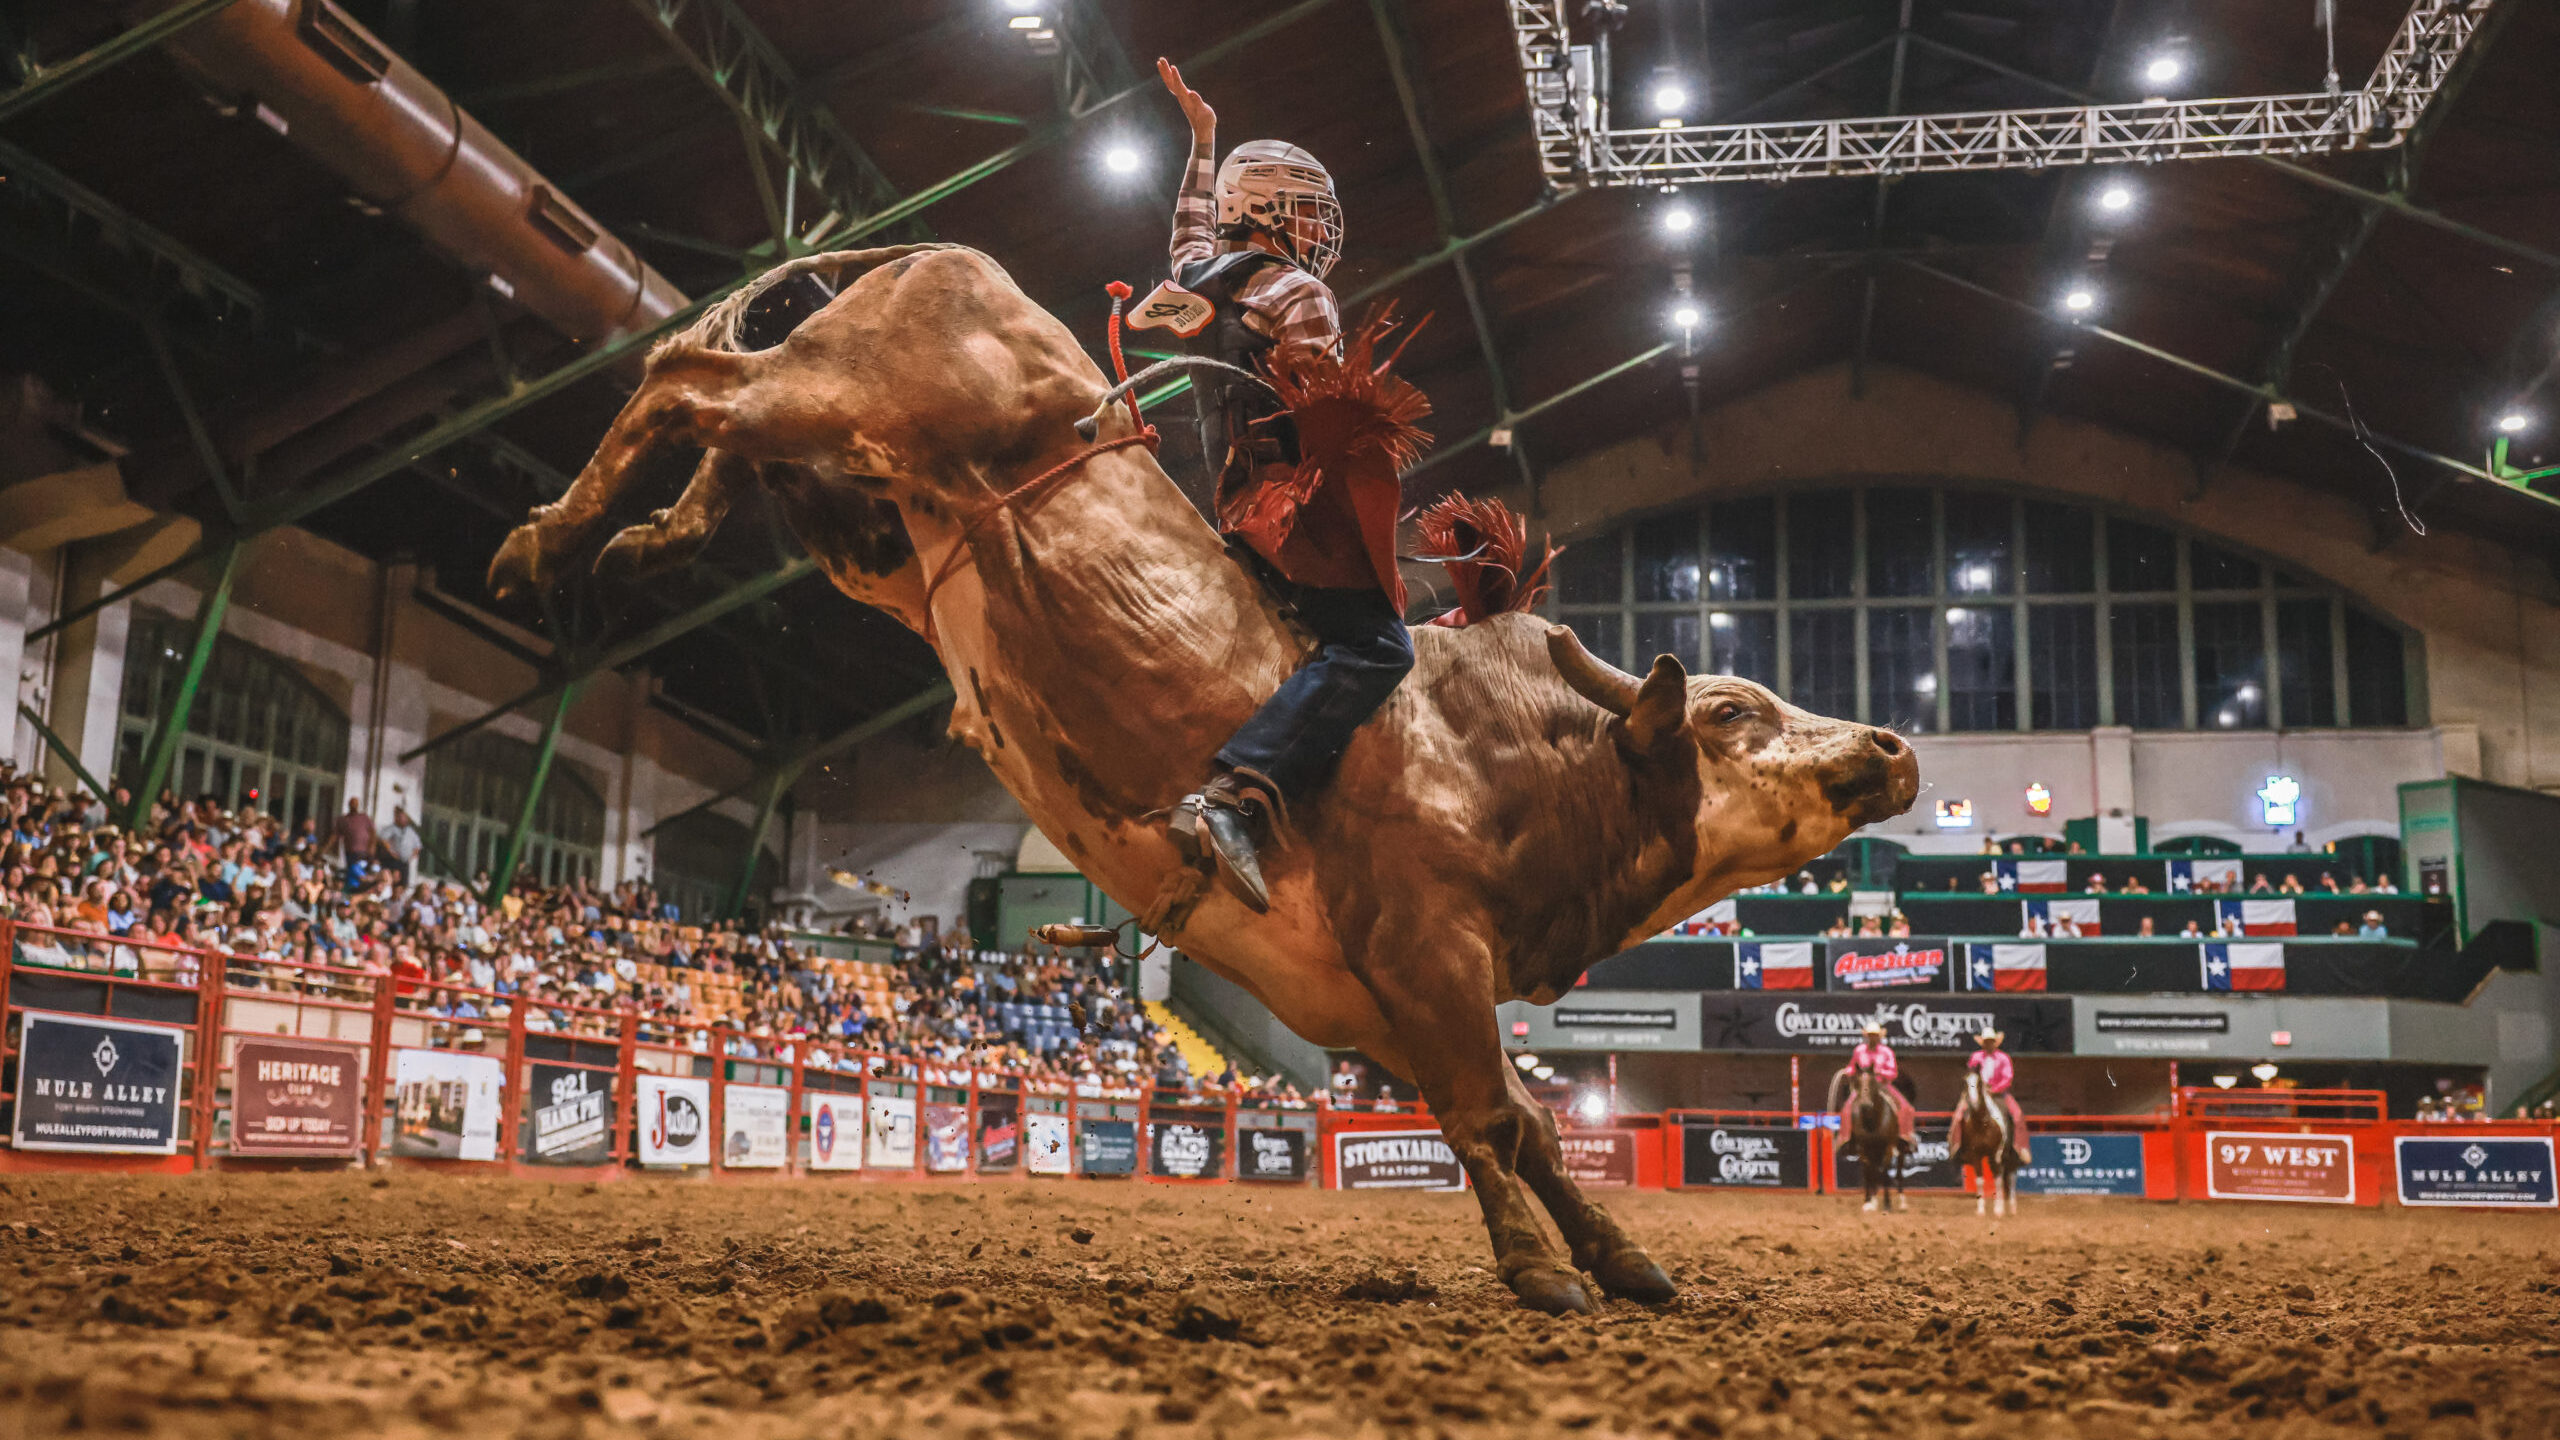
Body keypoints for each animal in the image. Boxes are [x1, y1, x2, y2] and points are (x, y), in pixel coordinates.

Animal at [1853, 1065, 1914, 1209]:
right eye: (1857, 1082)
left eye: (1872, 1082)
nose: (1865, 1104)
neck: (1872, 1122)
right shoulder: (1863, 1149)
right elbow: (1869, 1173)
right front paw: (1868, 1201)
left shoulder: (1888, 1148)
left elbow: (1885, 1174)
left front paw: (1887, 1204)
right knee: (1873, 1173)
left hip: (1900, 1148)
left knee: (1898, 1173)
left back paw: (1902, 1201)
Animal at [1955, 1065, 2017, 1209]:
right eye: (1964, 1082)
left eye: (1979, 1083)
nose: (1973, 1102)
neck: (1982, 1125)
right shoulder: (1975, 1155)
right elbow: (1979, 1180)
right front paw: (1980, 1209)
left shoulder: (1996, 1154)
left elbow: (1998, 1178)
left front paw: (1998, 1209)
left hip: (2005, 1153)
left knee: (2008, 1173)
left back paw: (2010, 1205)